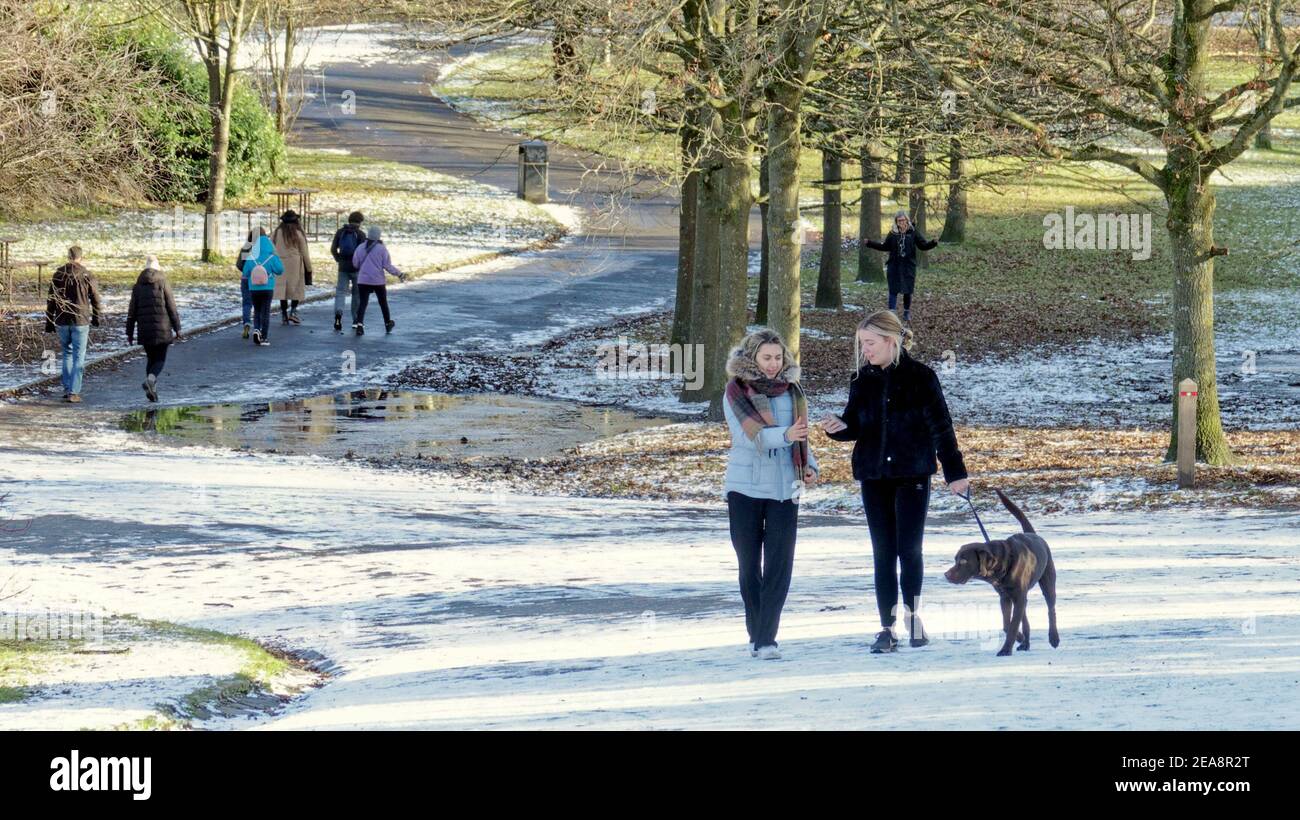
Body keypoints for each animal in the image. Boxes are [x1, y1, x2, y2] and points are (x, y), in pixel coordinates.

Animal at [946, 491, 1055, 657]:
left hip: (1047, 582)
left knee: (1051, 610)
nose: (946, 574)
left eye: (963, 561)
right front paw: (1019, 638)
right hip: (1019, 597)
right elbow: (1007, 624)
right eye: (955, 559)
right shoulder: (1005, 597)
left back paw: (1054, 638)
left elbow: (1012, 625)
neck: (1003, 564)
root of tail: (1033, 534)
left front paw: (1005, 650)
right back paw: (1025, 643)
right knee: (1024, 618)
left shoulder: (1017, 596)